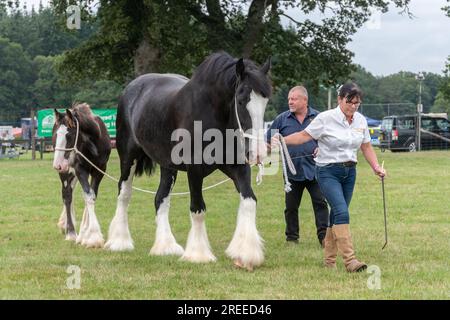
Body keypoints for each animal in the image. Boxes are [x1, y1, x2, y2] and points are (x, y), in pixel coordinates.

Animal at [53, 104, 111, 249]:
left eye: (69, 135)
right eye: (56, 134)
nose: (57, 165)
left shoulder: (100, 170)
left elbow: (91, 196)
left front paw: (85, 233)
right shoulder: (80, 169)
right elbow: (88, 195)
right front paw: (93, 237)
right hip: (66, 172)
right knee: (67, 195)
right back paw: (71, 232)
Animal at [104, 52, 270, 270]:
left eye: (265, 101)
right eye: (241, 100)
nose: (258, 153)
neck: (213, 114)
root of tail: (132, 87)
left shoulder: (238, 167)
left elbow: (249, 201)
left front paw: (246, 253)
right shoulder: (195, 170)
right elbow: (198, 209)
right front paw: (198, 255)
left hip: (167, 165)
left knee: (160, 199)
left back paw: (165, 246)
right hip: (128, 156)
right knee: (124, 194)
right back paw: (119, 242)